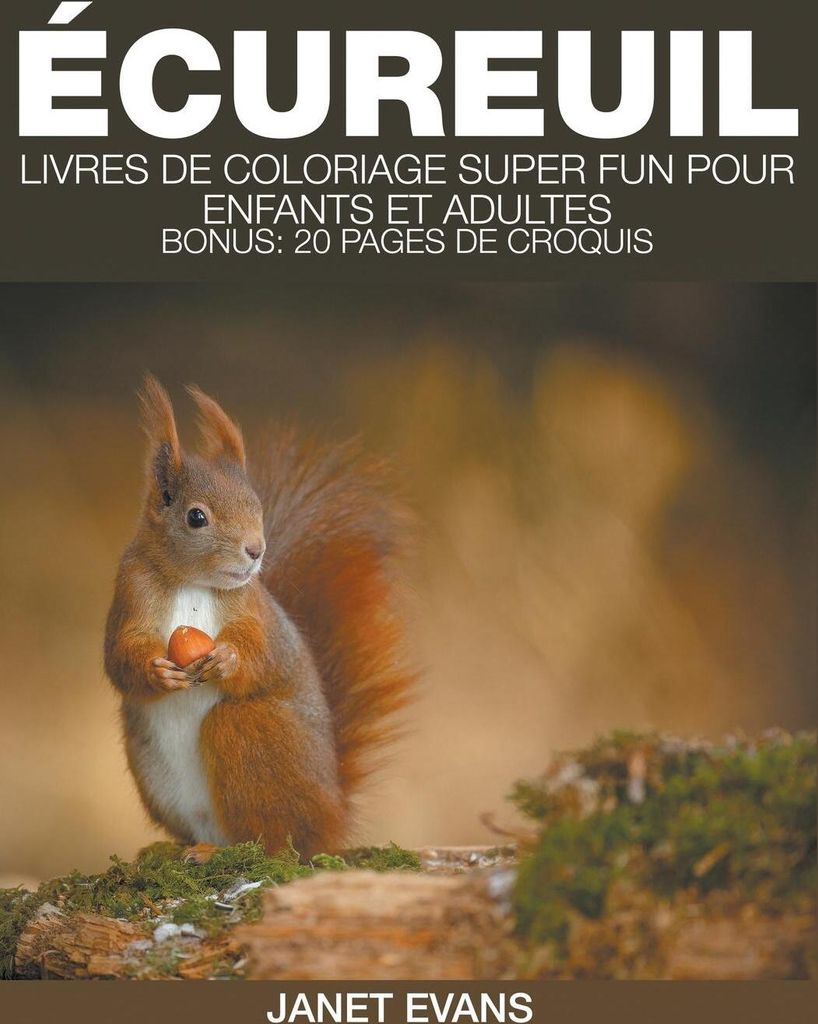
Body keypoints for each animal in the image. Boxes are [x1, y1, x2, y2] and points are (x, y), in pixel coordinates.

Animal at [104, 375, 414, 859]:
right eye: (196, 517)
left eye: (257, 506)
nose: (256, 550)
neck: (192, 582)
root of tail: (331, 817)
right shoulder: (130, 593)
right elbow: (120, 656)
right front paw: (157, 671)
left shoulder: (256, 610)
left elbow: (264, 653)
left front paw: (228, 659)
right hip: (151, 769)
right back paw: (187, 848)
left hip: (250, 732)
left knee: (272, 839)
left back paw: (226, 851)